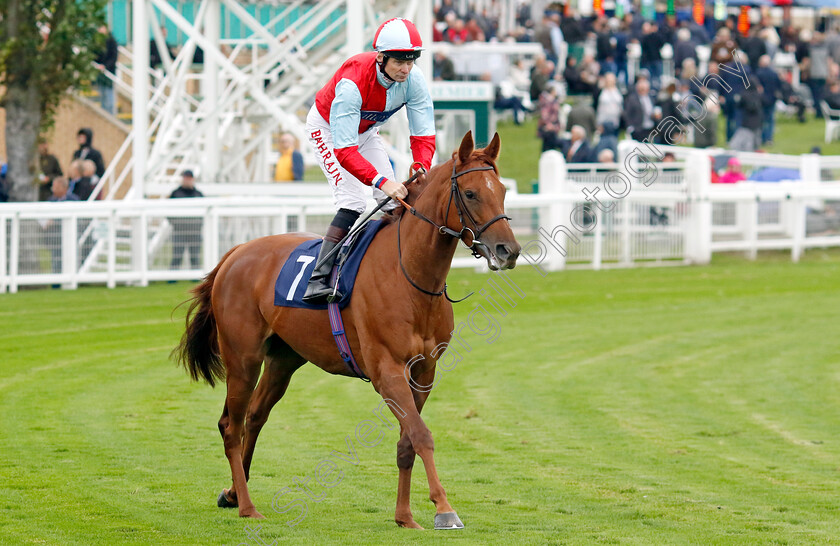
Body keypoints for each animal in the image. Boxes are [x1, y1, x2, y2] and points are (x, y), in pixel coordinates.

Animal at [176, 130, 520, 524]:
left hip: (283, 359)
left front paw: (405, 516)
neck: (410, 276)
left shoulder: (424, 371)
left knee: (254, 416)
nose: (508, 250)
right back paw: (247, 506)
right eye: (471, 193)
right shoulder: (387, 369)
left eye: (502, 190)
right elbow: (421, 435)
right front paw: (445, 510)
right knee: (230, 426)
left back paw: (234, 492)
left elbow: (407, 439)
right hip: (242, 358)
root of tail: (235, 253)